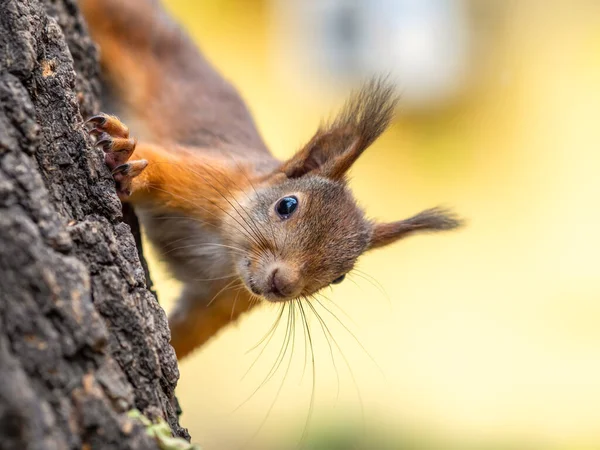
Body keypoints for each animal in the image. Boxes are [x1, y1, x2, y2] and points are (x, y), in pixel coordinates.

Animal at [81, 0, 464, 358]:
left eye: (340, 277)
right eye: (287, 205)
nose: (283, 284)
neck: (227, 257)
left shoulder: (218, 301)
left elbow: (186, 335)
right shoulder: (211, 180)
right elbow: (161, 167)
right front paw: (127, 158)